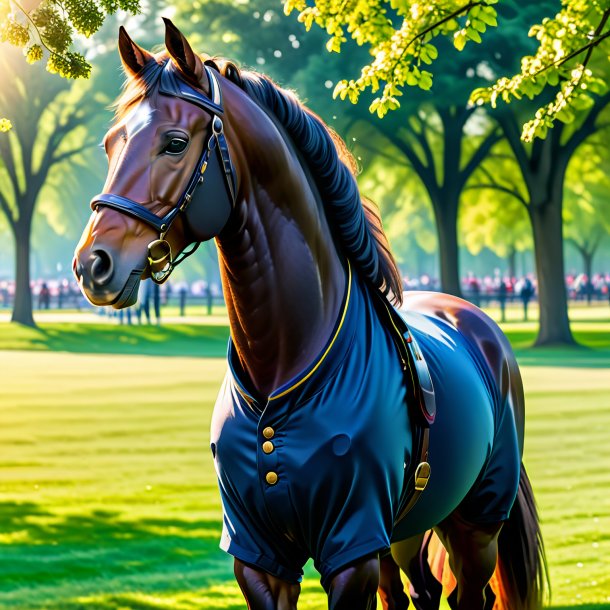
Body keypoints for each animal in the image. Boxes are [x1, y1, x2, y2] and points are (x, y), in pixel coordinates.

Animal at [73, 19, 544, 608]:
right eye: (111, 143)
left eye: (175, 142)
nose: (94, 263)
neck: (284, 370)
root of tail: (480, 328)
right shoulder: (260, 553)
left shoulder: (352, 544)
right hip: (402, 532)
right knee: (419, 590)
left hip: (475, 523)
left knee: (465, 592)